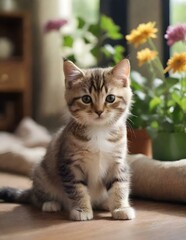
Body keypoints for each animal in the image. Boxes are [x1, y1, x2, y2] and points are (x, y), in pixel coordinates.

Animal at [0, 59, 135, 220]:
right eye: (86, 99)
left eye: (110, 98)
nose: (99, 111)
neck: (98, 130)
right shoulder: (70, 164)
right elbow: (77, 188)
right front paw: (82, 210)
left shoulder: (117, 161)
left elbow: (119, 184)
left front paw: (121, 207)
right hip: (42, 173)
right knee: (35, 198)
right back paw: (50, 203)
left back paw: (105, 204)